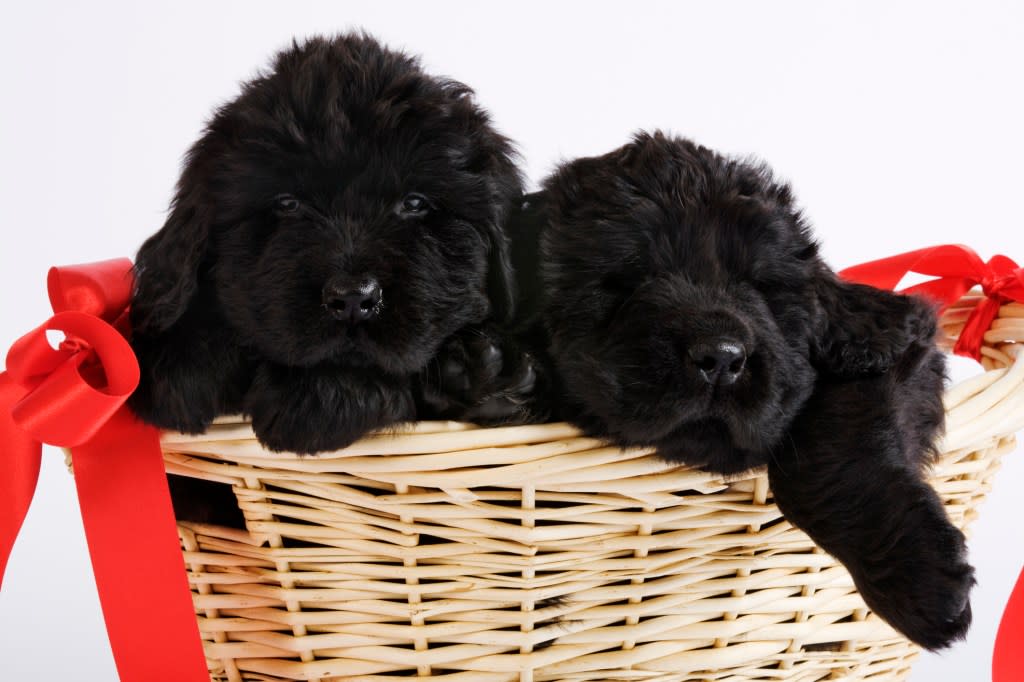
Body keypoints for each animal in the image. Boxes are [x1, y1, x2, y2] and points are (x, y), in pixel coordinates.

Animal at [512, 133, 974, 647]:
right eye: (628, 279)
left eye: (760, 284)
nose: (721, 358)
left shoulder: (893, 344)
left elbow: (833, 453)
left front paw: (921, 581)